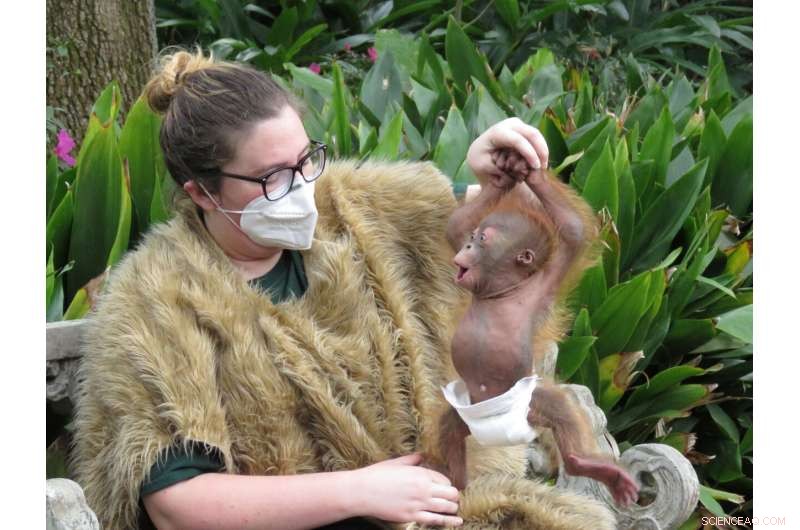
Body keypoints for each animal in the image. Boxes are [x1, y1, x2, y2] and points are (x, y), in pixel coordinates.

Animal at [437, 149, 639, 507]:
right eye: (472, 239)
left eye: (482, 241)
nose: (468, 249)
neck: (502, 291)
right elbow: (454, 225)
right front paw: (504, 173)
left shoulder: (546, 283)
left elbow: (572, 233)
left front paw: (531, 173)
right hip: (468, 415)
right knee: (449, 427)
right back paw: (456, 483)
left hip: (531, 409)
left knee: (560, 409)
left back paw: (586, 465)